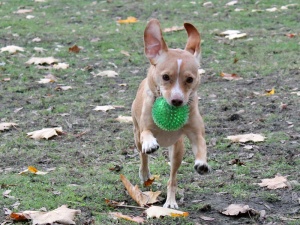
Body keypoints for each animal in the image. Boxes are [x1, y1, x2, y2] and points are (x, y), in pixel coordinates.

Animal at [130, 19, 210, 209]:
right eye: (165, 77)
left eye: (190, 79)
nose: (177, 100)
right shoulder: (144, 128)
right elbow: (147, 135)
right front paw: (151, 143)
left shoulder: (195, 133)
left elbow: (201, 144)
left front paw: (202, 163)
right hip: (136, 136)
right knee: (142, 155)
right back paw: (145, 173)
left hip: (177, 149)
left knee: (172, 178)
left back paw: (171, 202)